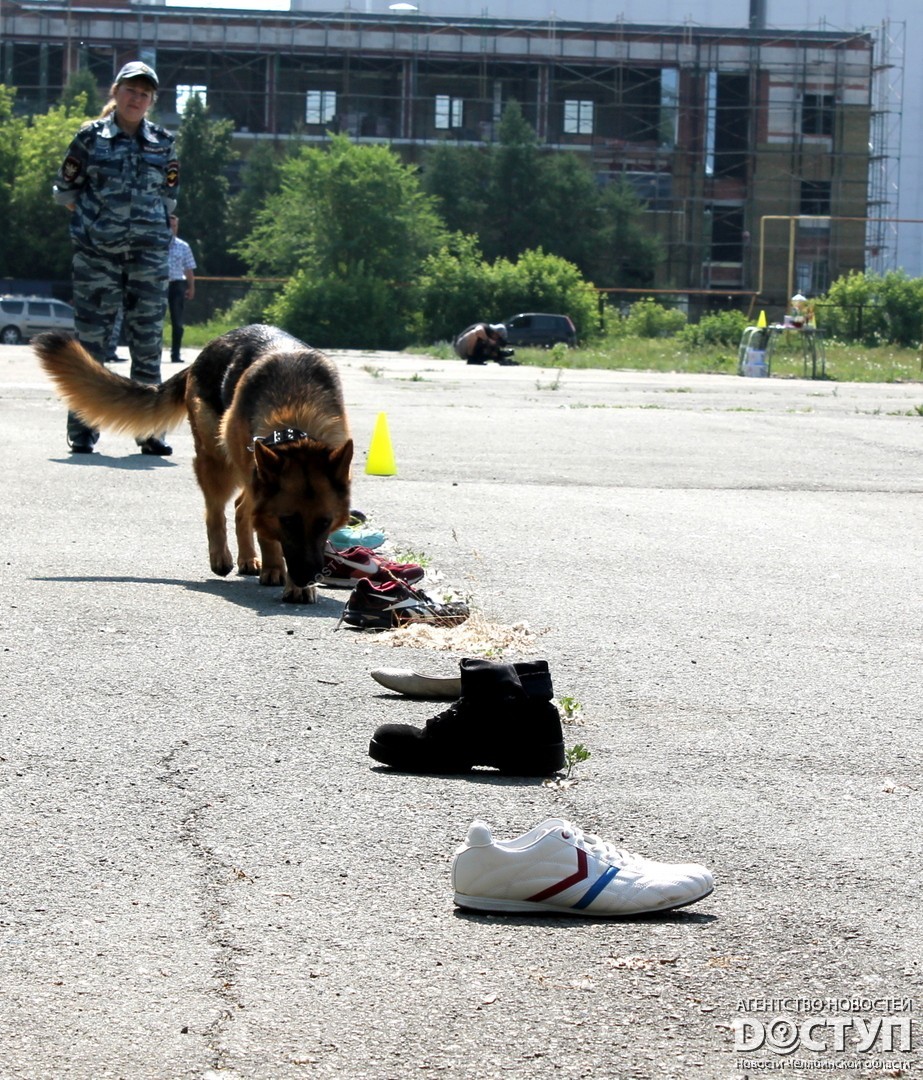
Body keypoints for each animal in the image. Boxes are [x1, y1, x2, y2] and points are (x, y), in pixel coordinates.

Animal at [33, 324, 353, 604]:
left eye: (325, 523)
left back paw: (248, 559)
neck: (293, 417)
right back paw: (222, 558)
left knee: (240, 508)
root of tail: (205, 352)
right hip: (217, 462)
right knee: (216, 511)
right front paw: (278, 570)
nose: (307, 577)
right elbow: (268, 535)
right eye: (288, 521)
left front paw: (297, 585)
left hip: (244, 471)